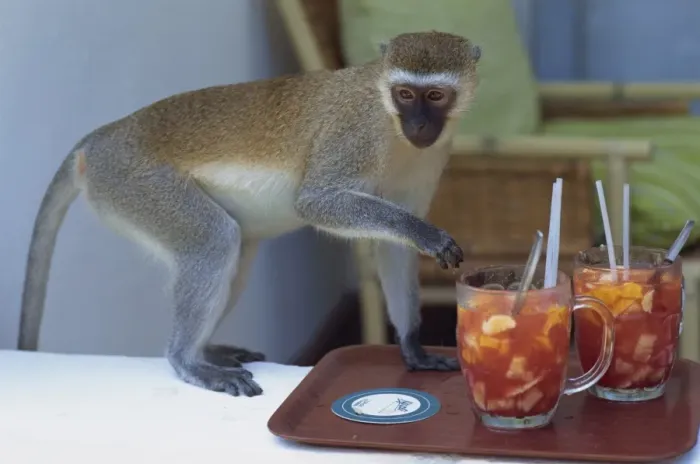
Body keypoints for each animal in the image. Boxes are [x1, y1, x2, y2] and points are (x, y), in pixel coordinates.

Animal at [19, 31, 481, 397]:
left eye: (435, 96)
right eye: (405, 94)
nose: (419, 125)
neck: (388, 118)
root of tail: (100, 140)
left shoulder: (428, 157)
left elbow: (395, 250)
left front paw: (413, 347)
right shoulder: (354, 134)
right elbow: (315, 201)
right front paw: (427, 235)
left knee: (236, 251)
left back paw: (207, 350)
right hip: (133, 183)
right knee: (214, 240)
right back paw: (187, 359)